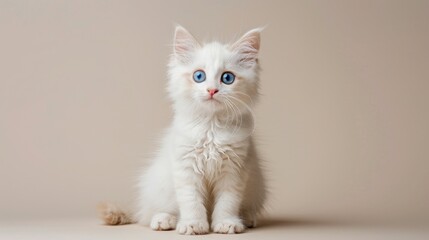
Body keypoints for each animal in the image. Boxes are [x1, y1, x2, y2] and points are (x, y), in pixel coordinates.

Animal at [99, 25, 266, 234]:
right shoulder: (186, 167)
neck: (211, 127)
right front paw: (194, 225)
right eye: (199, 76)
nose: (212, 90)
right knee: (152, 213)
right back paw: (163, 220)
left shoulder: (234, 170)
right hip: (161, 188)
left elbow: (227, 202)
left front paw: (226, 223)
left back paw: (248, 218)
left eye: (227, 78)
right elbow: (191, 201)